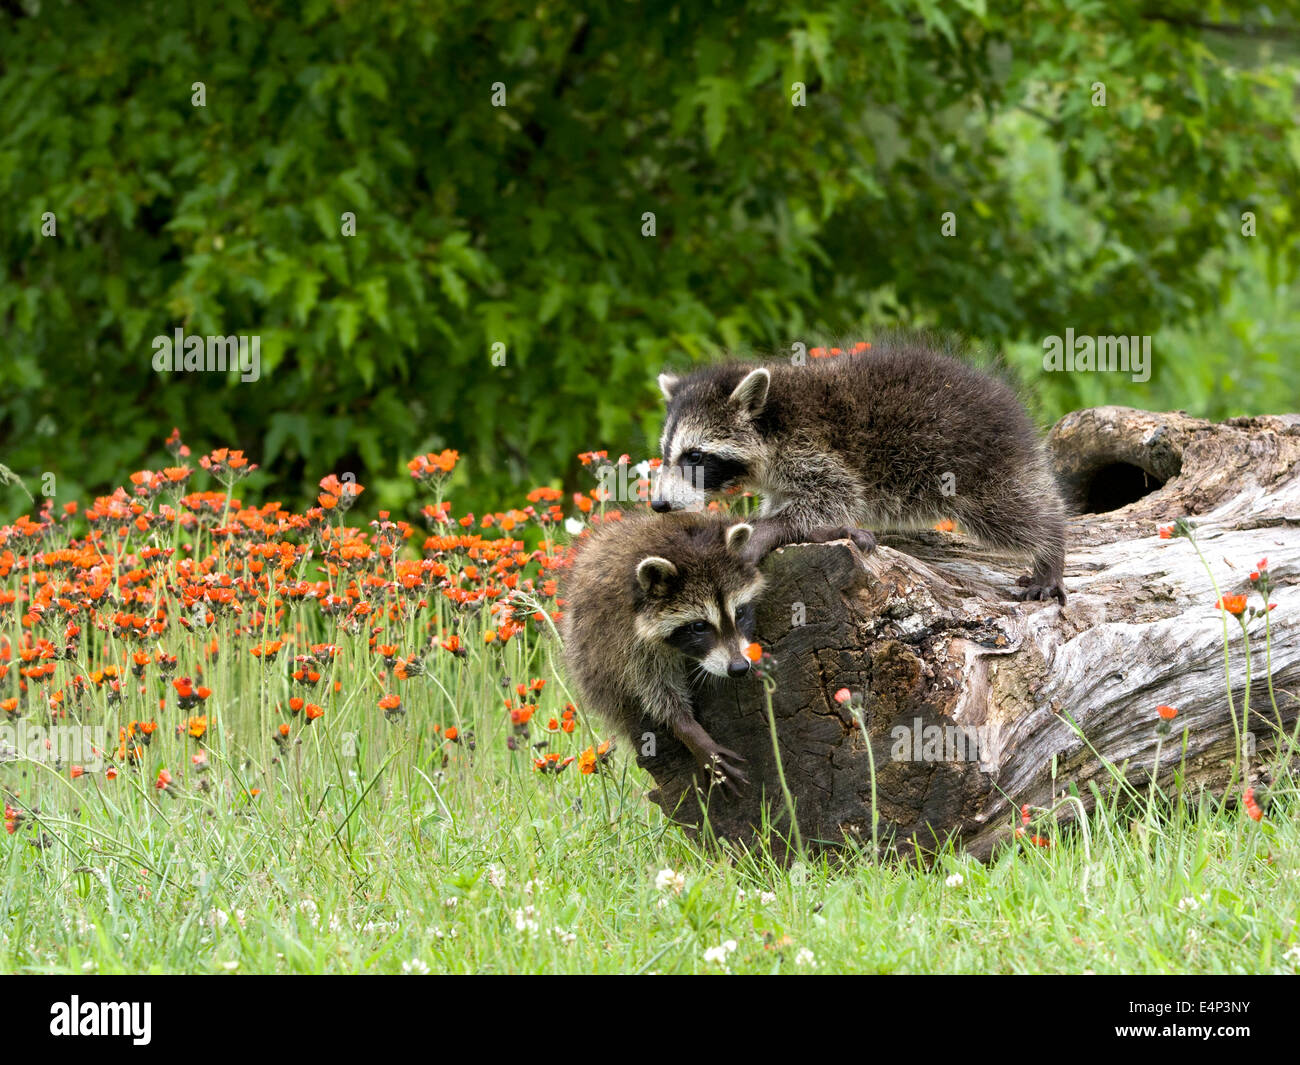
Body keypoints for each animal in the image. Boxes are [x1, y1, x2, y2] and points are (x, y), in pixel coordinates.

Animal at [559, 512, 759, 785]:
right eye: (699, 626)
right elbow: (655, 689)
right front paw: (686, 727)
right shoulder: (624, 637)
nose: (739, 667)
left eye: (739, 613)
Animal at [650, 338, 1066, 603]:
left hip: (977, 465)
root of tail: (1006, 402)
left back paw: (1051, 545)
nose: (658, 505)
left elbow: (837, 493)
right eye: (667, 455)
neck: (774, 416)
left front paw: (770, 528)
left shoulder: (813, 447)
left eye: (695, 457)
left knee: (1014, 512)